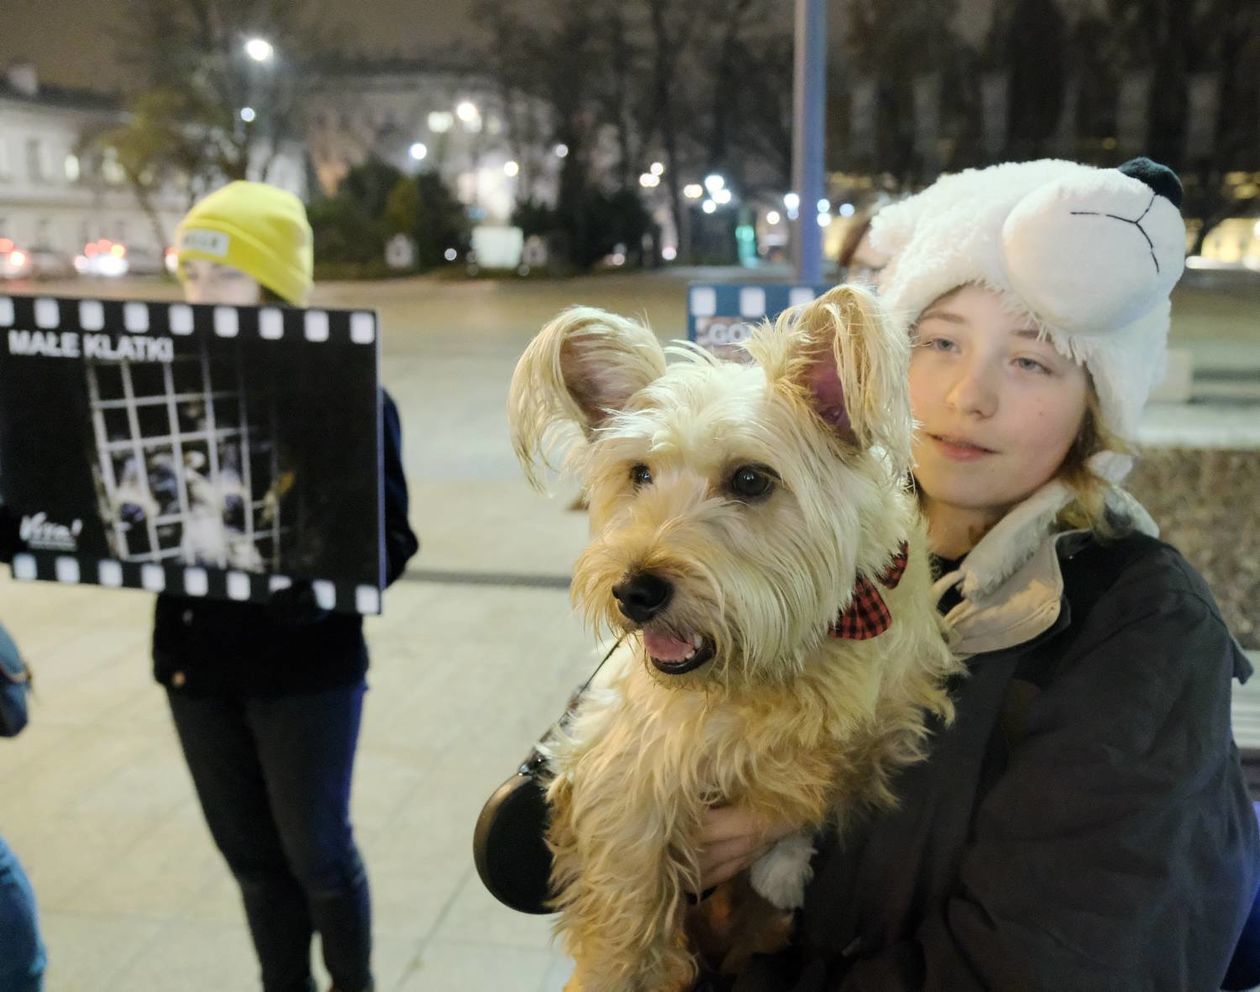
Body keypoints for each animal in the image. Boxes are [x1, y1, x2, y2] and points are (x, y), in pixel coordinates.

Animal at [506, 283, 957, 988]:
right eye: (639, 474)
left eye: (751, 479)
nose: (633, 592)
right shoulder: (621, 777)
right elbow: (624, 923)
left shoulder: (866, 738)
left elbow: (799, 807)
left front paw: (782, 870)